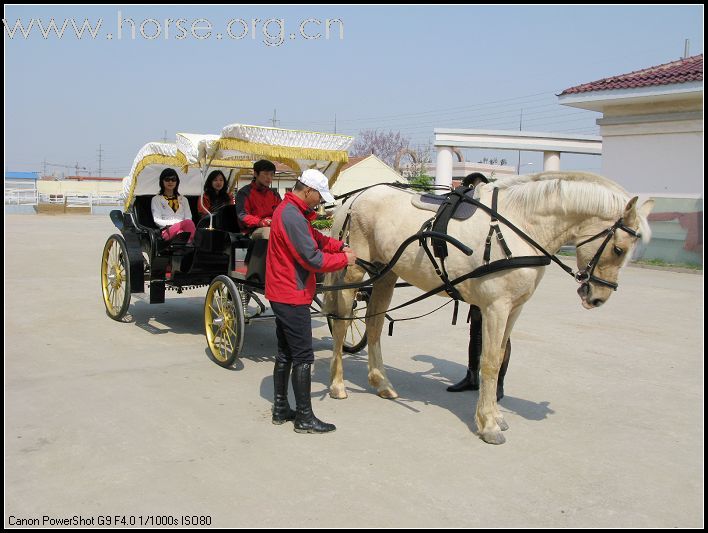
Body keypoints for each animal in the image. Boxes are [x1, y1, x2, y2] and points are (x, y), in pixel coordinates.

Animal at [324, 172, 656, 442]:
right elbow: (491, 361)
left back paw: (380, 381)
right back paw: (337, 384)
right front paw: (488, 424)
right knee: (341, 323)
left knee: (374, 324)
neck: (520, 224)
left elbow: (499, 358)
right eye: (618, 249)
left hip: (386, 273)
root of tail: (355, 197)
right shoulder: (496, 307)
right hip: (353, 273)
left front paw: (495, 415)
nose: (598, 297)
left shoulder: (514, 309)